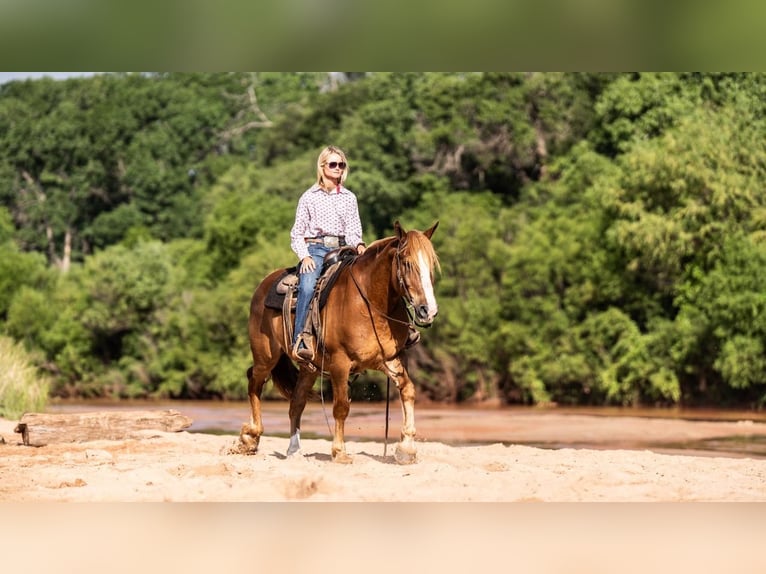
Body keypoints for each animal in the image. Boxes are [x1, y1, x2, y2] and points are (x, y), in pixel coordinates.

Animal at [243, 223, 440, 466]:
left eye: (430, 264)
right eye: (407, 263)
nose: (428, 310)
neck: (369, 302)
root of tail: (263, 285)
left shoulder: (391, 359)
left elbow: (409, 391)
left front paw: (407, 448)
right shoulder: (340, 363)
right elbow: (341, 407)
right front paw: (339, 452)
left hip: (309, 368)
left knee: (296, 403)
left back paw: (294, 449)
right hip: (266, 356)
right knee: (254, 382)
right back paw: (250, 437)